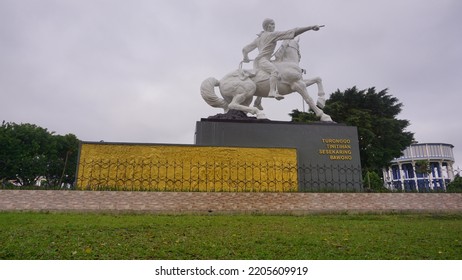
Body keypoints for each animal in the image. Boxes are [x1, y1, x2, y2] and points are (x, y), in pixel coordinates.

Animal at [199, 37, 332, 121]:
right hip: (248, 90)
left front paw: (321, 100)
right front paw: (324, 116)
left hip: (247, 97)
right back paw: (259, 113)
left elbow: (318, 79)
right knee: (232, 105)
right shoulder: (297, 84)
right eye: (298, 45)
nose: (300, 56)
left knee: (231, 108)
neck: (287, 63)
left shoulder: (300, 83)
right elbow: (308, 99)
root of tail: (220, 81)